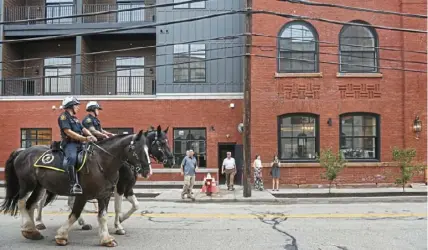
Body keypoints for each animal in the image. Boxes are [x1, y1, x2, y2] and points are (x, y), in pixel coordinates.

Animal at [0, 130, 152, 247]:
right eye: (138, 150)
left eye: (148, 149)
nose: (147, 171)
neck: (101, 162)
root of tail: (23, 151)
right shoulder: (83, 195)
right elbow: (75, 214)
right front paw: (61, 236)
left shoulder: (105, 195)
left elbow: (102, 216)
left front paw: (106, 239)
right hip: (27, 184)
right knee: (22, 202)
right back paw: (30, 227)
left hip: (39, 186)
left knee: (30, 205)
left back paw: (31, 231)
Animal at [33, 126, 174, 235]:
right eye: (161, 143)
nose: (171, 161)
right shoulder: (120, 187)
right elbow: (118, 207)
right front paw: (118, 226)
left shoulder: (127, 188)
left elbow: (136, 205)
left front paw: (121, 219)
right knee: (41, 201)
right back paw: (39, 222)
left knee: (68, 202)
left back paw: (82, 223)